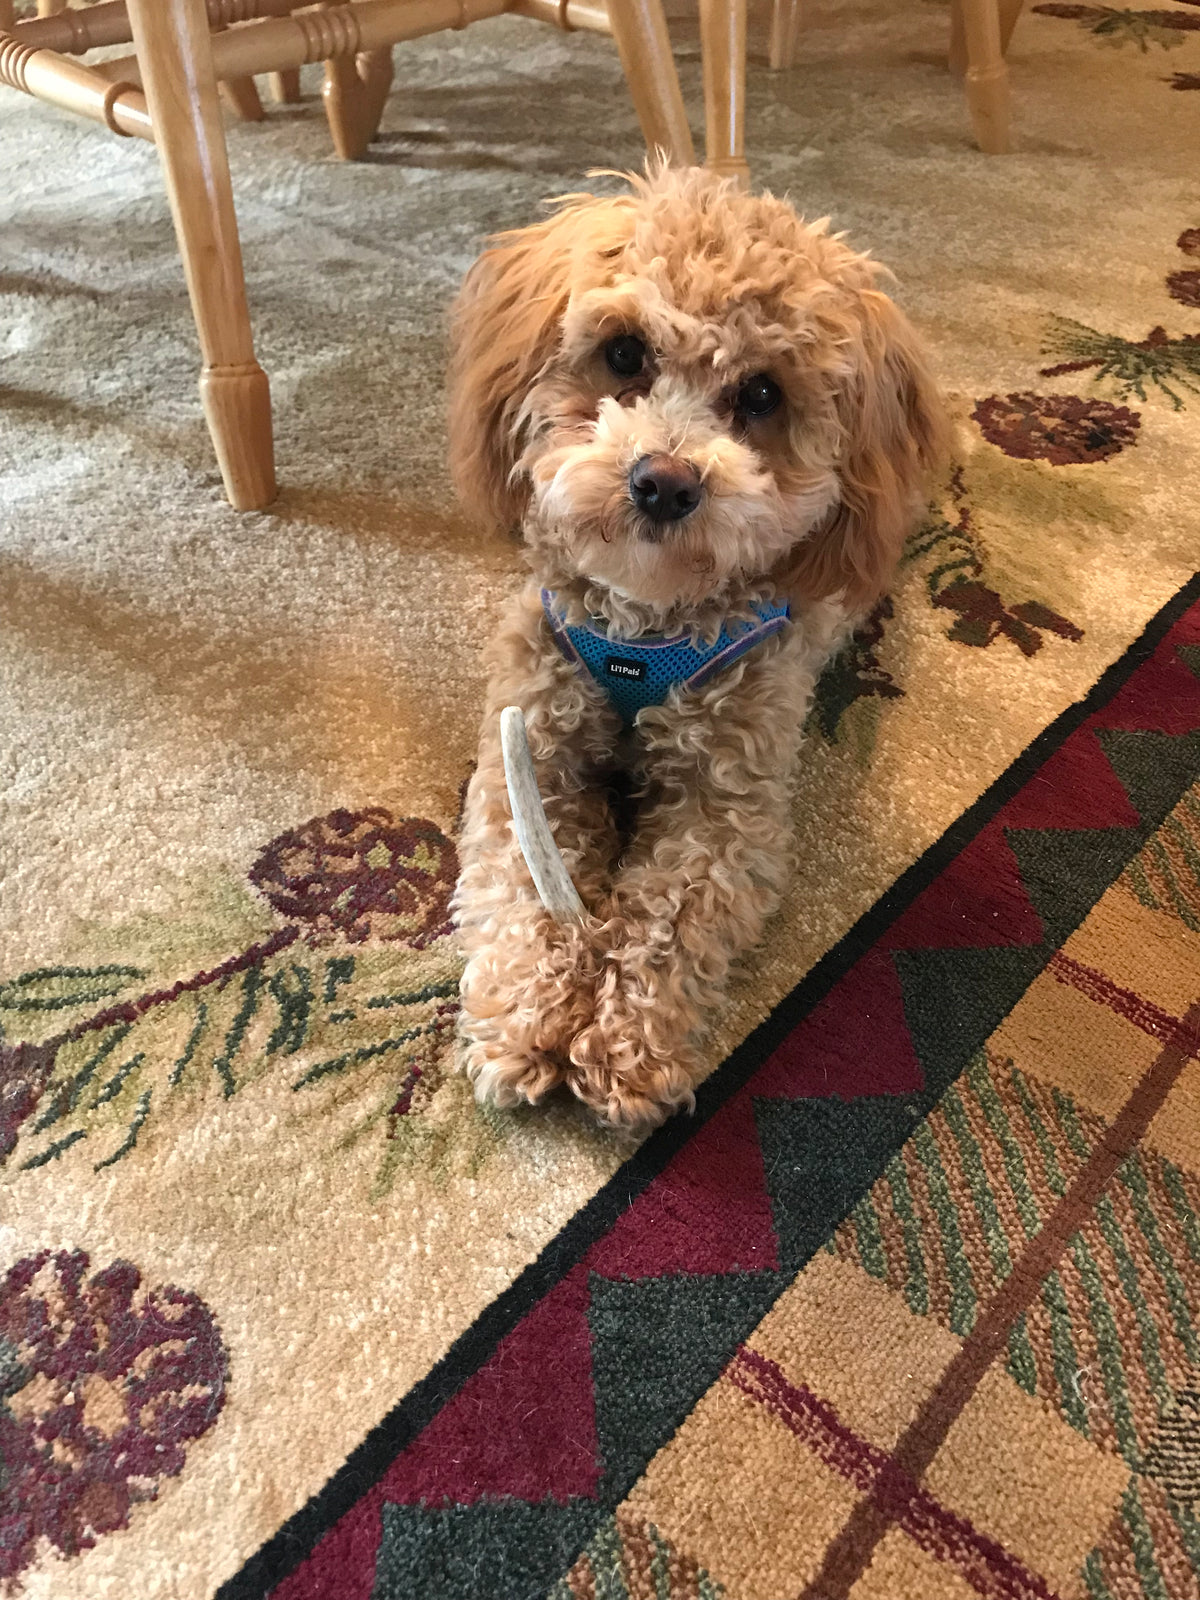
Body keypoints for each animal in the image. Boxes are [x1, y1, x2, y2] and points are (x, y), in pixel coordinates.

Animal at [448, 162, 947, 1126]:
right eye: (625, 354)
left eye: (761, 395)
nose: (665, 482)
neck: (643, 631)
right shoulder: (529, 755)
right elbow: (524, 883)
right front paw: (527, 1019)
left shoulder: (728, 811)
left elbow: (669, 919)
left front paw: (622, 1048)